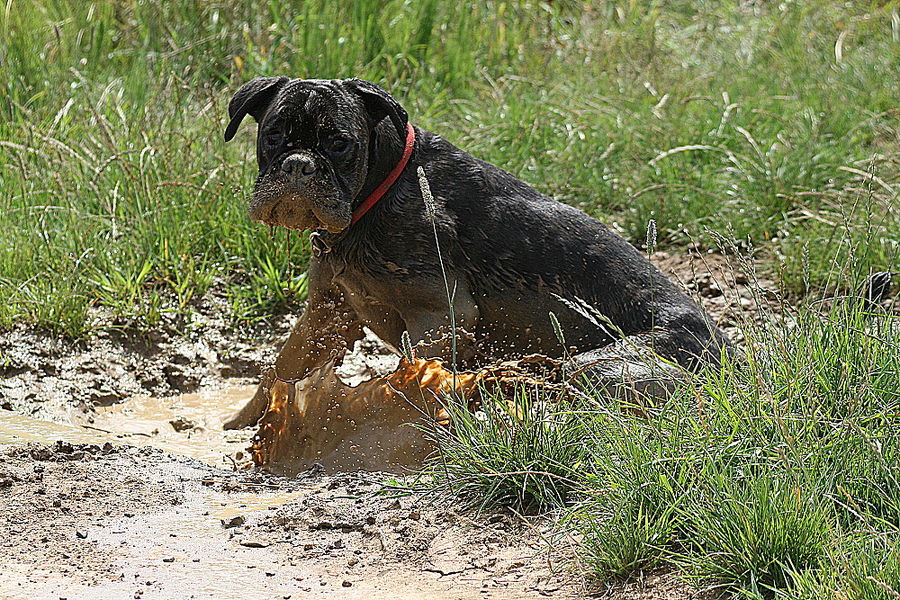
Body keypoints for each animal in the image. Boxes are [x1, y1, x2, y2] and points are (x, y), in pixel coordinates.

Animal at [221, 77, 736, 428]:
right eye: (272, 136)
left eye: (338, 143)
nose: (299, 165)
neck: (376, 191)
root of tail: (731, 357)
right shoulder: (326, 314)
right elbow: (282, 367)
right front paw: (243, 421)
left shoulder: (438, 316)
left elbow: (411, 375)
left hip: (597, 367)